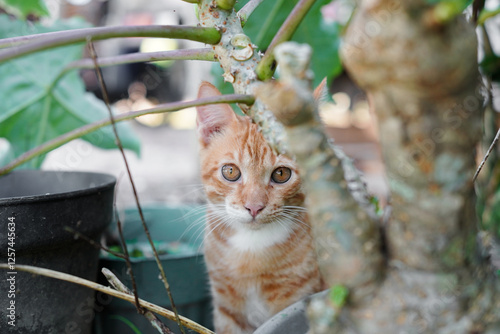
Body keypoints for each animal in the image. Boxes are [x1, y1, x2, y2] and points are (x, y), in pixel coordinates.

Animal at [195, 81, 320, 334]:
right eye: (230, 171)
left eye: (281, 174)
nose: (254, 207)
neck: (251, 248)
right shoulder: (228, 311)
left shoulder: (296, 301)